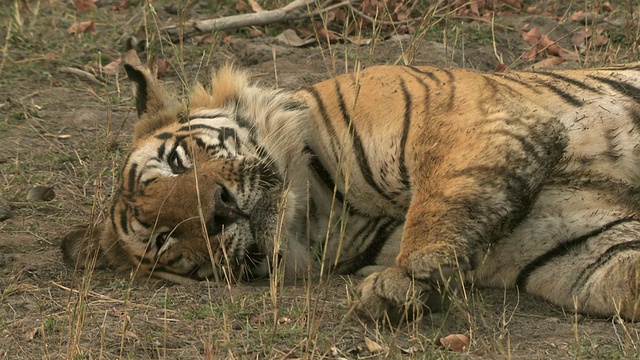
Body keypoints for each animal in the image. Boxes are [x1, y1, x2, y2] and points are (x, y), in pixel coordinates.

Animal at [61, 59, 640, 324]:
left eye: (177, 163)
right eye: (162, 239)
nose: (218, 211)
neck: (321, 208)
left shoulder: (464, 118)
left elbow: (439, 201)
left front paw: (400, 281)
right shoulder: (580, 249)